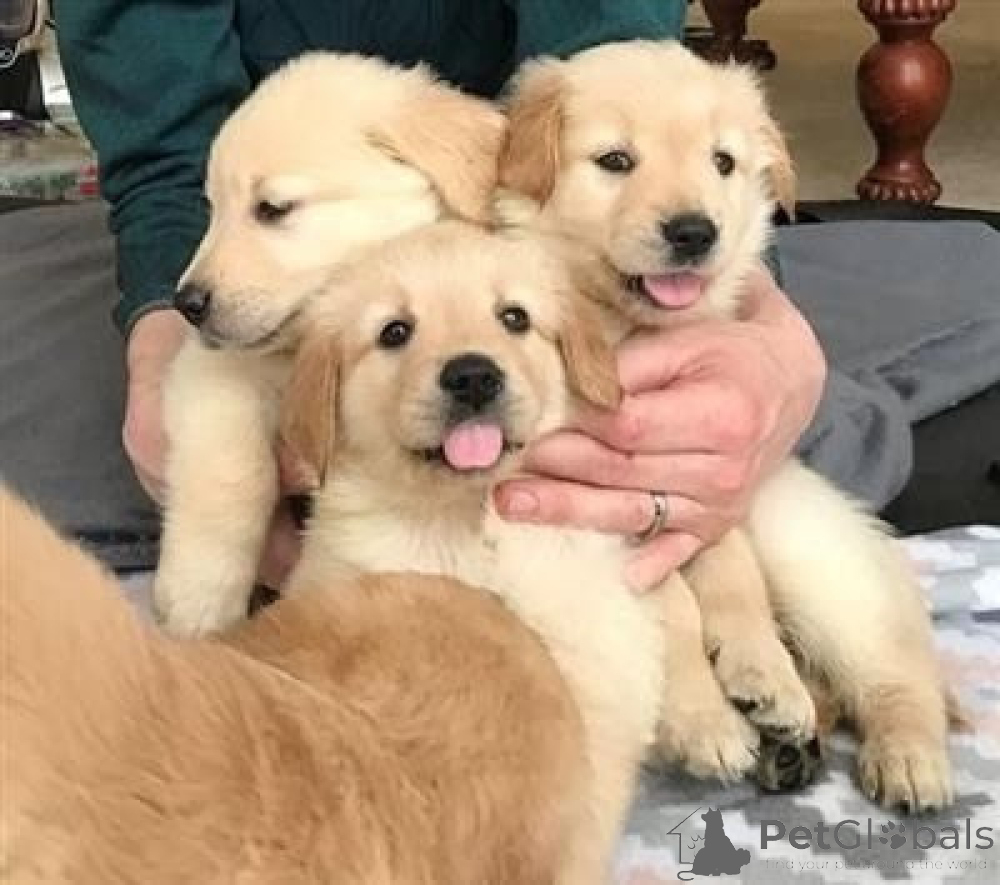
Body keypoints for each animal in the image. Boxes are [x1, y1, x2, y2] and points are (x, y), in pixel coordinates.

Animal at [154, 52, 506, 637]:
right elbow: (231, 470)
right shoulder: (214, 372)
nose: (188, 304)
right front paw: (198, 597)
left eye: (272, 208)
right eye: (213, 208)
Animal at [498, 40, 954, 812]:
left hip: (824, 572)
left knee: (896, 669)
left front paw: (761, 675)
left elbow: (732, 578)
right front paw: (709, 718)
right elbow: (674, 608)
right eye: (615, 160)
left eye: (723, 162)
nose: (694, 232)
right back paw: (789, 745)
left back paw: (906, 756)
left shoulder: (703, 486)